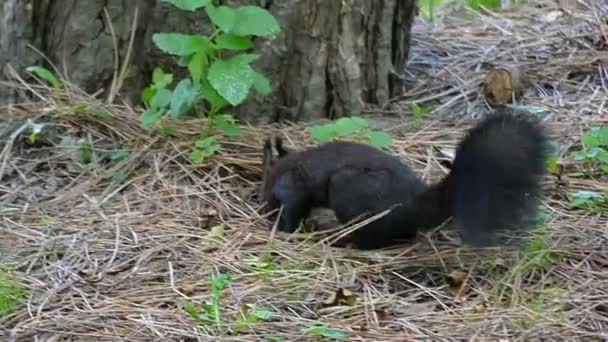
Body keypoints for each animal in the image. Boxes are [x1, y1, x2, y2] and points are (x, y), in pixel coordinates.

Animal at [260, 111, 548, 248]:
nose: (264, 207)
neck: (282, 167)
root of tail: (416, 204)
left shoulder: (291, 188)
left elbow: (292, 208)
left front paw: (282, 227)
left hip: (349, 189)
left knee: (371, 238)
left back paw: (345, 241)